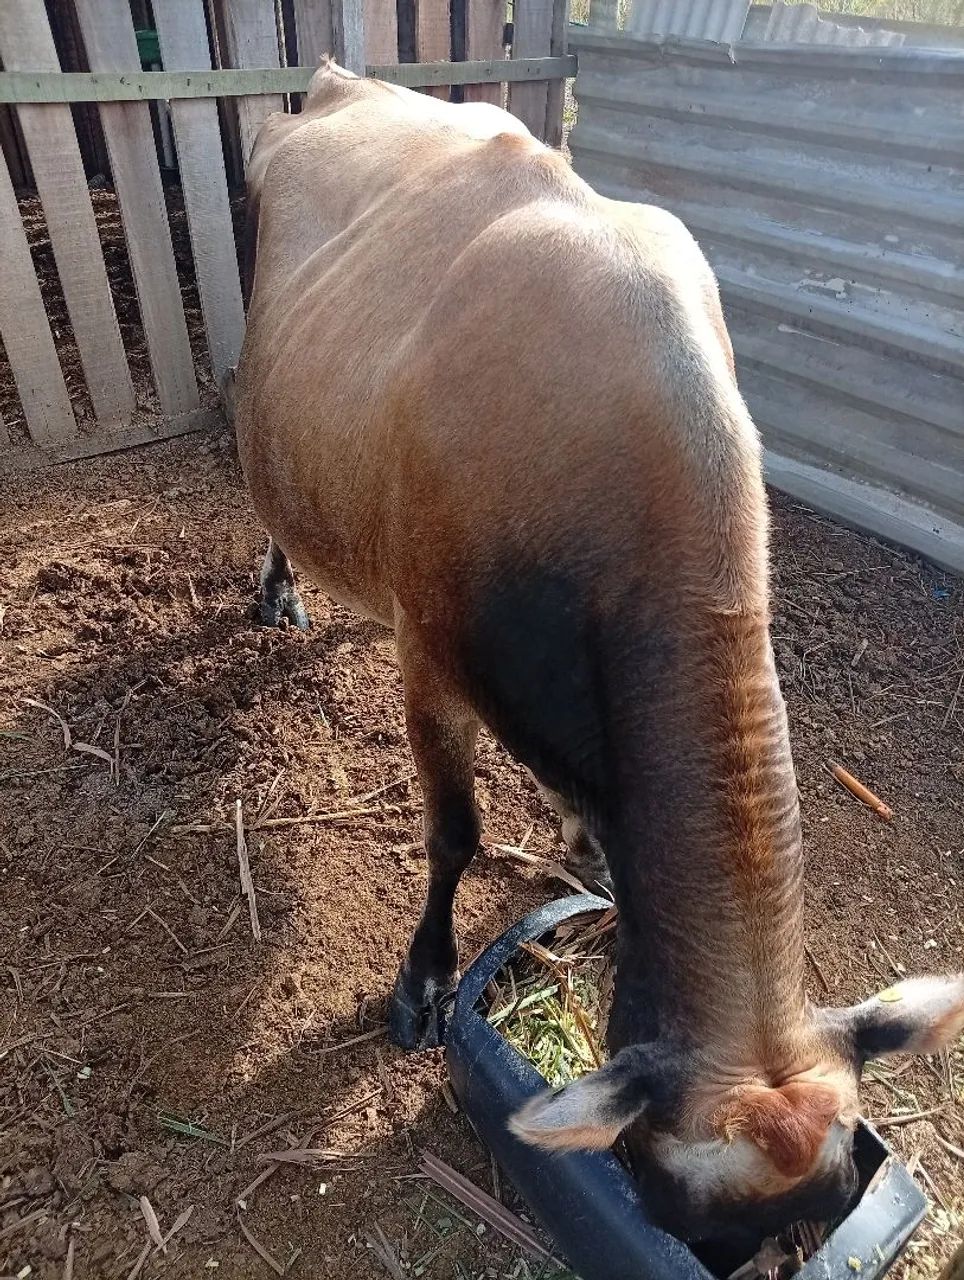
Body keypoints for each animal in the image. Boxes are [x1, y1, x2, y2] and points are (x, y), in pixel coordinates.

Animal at [234, 59, 964, 1250]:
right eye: (683, 1217)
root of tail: (340, 82)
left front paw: (582, 845)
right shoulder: (432, 658)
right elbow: (453, 831)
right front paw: (425, 977)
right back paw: (279, 586)